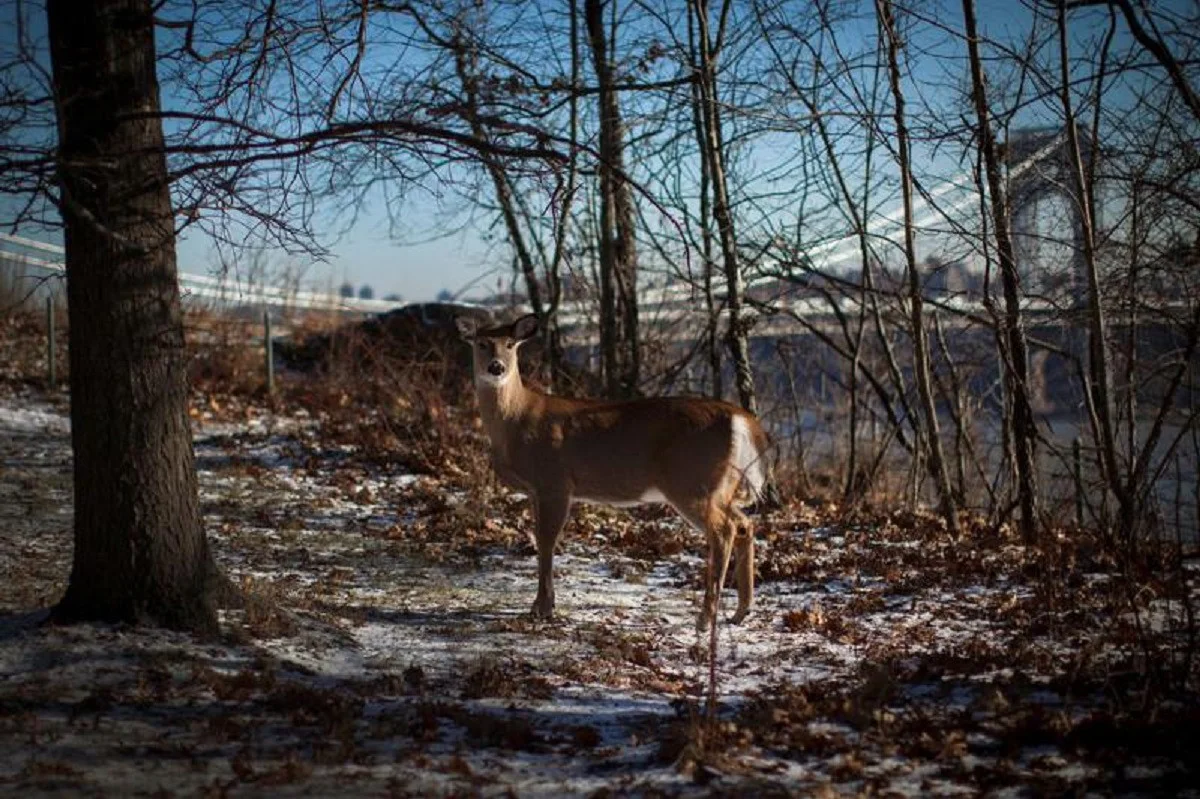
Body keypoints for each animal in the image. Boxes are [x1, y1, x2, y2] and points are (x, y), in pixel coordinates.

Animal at [453, 311, 772, 628]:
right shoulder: (536, 490)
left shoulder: (554, 481)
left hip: (692, 481)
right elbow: (540, 538)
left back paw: (706, 618)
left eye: (510, 344)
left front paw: (542, 608)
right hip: (720, 486)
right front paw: (542, 605)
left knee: (724, 531)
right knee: (744, 524)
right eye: (482, 343)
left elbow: (546, 541)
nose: (496, 367)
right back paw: (741, 611)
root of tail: (744, 421)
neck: (516, 421)